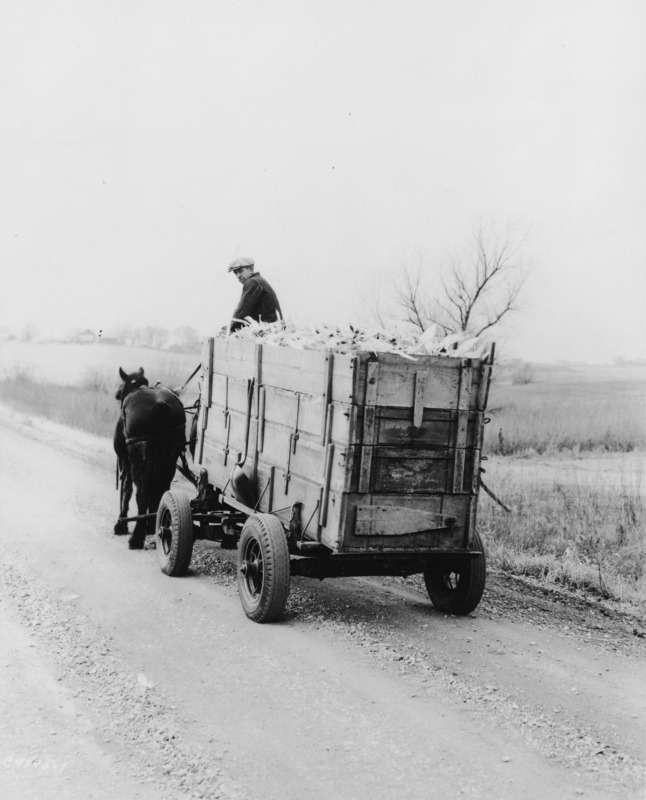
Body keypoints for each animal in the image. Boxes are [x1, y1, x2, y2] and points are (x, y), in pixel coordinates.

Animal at [112, 368, 185, 552]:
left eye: (122, 386)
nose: (116, 393)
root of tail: (160, 406)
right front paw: (150, 526)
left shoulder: (125, 460)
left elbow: (126, 490)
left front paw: (121, 524)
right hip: (169, 459)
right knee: (162, 489)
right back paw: (154, 525)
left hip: (141, 460)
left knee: (142, 494)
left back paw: (136, 538)